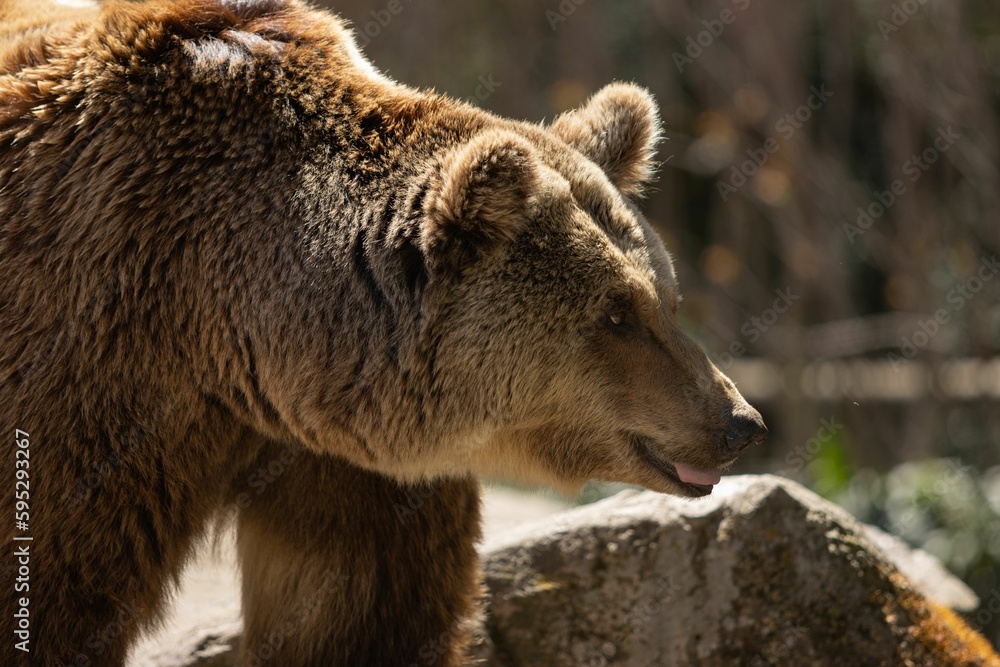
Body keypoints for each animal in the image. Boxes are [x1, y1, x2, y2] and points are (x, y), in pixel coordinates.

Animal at [0, 0, 767, 665]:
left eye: (667, 300)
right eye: (615, 315)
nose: (740, 422)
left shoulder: (354, 465)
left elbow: (363, 613)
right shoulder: (93, 379)